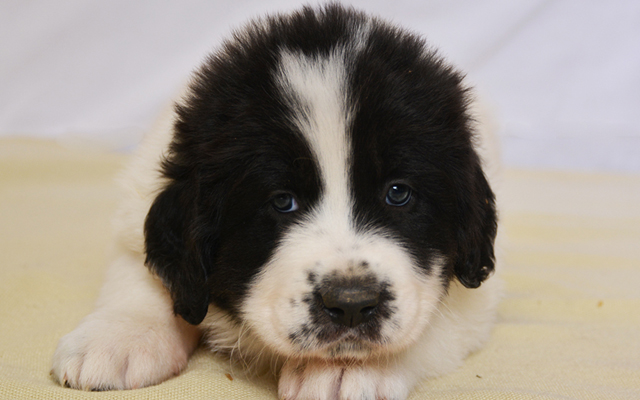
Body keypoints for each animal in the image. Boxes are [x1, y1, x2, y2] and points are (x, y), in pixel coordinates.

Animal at [52, 3, 502, 400]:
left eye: (398, 193)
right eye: (282, 201)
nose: (351, 303)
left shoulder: (475, 293)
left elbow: (432, 324)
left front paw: (349, 369)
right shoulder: (139, 207)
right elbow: (143, 275)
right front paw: (118, 338)